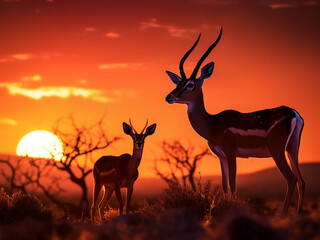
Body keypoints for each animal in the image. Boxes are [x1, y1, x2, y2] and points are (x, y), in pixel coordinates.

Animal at [165, 28, 304, 218]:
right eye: (178, 82)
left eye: (190, 84)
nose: (169, 97)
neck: (213, 123)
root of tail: (294, 113)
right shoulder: (221, 156)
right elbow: (225, 186)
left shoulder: (231, 153)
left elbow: (233, 184)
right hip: (292, 148)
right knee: (301, 180)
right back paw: (298, 215)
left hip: (278, 151)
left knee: (291, 178)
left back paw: (283, 217)